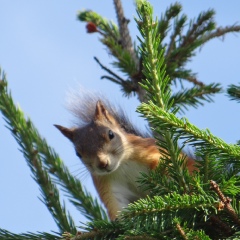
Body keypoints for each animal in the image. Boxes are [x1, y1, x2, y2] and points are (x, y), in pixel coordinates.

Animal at [54, 97, 195, 219]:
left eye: (111, 134)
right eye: (78, 153)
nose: (102, 164)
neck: (121, 166)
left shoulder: (150, 151)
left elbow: (163, 162)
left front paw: (158, 178)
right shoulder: (107, 185)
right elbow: (116, 205)